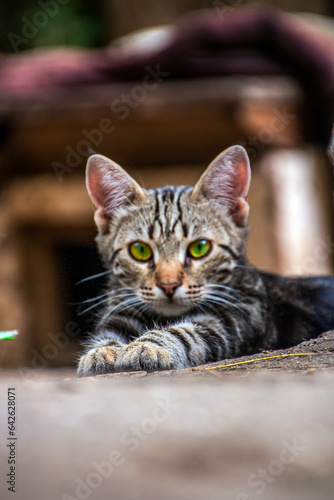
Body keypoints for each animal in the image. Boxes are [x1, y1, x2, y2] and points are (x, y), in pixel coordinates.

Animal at [76, 146, 334, 376]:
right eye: (140, 251)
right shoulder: (119, 312)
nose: (168, 285)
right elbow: (107, 335)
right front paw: (102, 351)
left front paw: (147, 345)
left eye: (200, 248)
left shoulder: (237, 318)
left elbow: (185, 333)